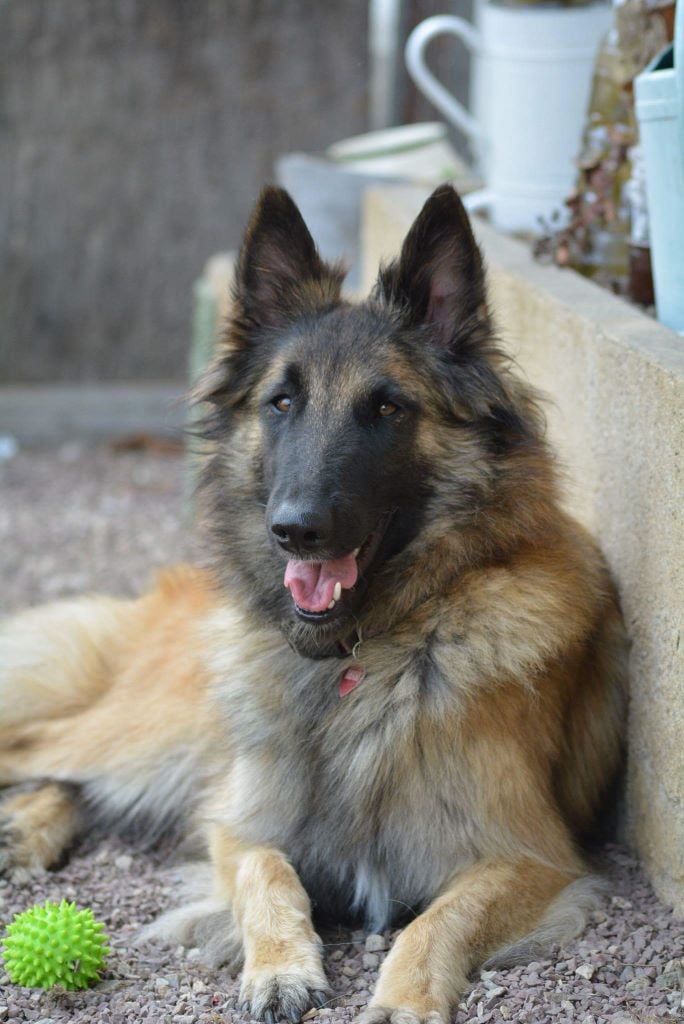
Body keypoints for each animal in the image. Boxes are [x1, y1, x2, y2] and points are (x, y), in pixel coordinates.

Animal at [0, 185, 627, 1023]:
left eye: (388, 408)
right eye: (282, 402)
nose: (296, 529)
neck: (364, 652)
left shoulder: (528, 858)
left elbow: (437, 921)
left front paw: (402, 1000)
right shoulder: (239, 822)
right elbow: (266, 870)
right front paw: (279, 967)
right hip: (159, 731)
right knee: (39, 749)